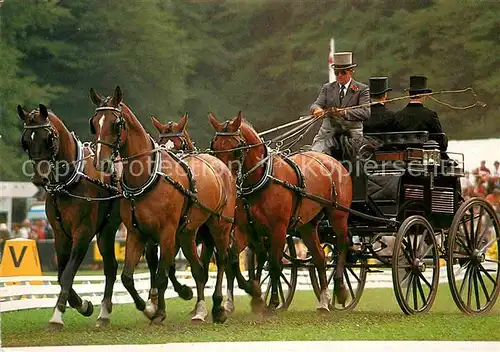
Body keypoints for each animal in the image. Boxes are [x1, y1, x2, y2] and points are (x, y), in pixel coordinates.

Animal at [18, 103, 121, 328]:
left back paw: (106, 313)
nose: (39, 178)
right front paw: (82, 305)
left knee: (111, 266)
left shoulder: (83, 232)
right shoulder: (60, 234)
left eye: (49, 138)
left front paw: (57, 316)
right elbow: (60, 274)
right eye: (26, 141)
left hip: (108, 229)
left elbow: (68, 274)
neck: (70, 180)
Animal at [88, 86, 236, 324]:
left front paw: (159, 312)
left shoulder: (167, 233)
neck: (147, 177)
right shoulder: (136, 233)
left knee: (222, 260)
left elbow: (161, 274)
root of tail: (221, 165)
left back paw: (218, 307)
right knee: (199, 269)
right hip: (188, 232)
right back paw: (199, 309)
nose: (101, 162)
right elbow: (128, 277)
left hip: (220, 224)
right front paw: (148, 307)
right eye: (94, 123)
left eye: (116, 124)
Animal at [209, 111, 350, 312]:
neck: (262, 178)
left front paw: (273, 302)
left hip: (339, 215)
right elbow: (235, 259)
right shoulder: (245, 229)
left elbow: (275, 264)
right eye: (214, 148)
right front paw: (254, 292)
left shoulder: (279, 228)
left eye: (237, 148)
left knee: (342, 245)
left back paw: (340, 288)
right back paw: (324, 300)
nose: (225, 180)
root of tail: (333, 162)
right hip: (308, 225)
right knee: (320, 258)